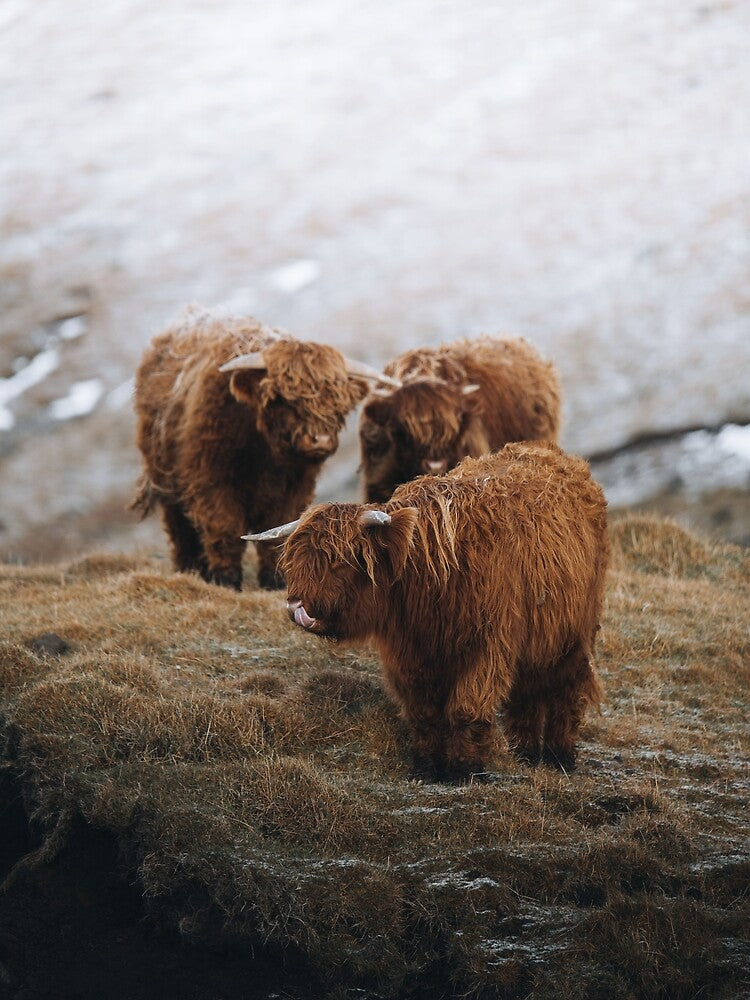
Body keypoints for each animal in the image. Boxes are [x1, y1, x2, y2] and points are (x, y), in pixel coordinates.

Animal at [131, 307, 396, 590]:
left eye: (337, 401)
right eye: (283, 399)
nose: (321, 439)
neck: (264, 454)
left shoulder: (294, 488)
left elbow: (278, 530)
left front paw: (275, 580)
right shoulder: (211, 481)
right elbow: (224, 529)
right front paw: (226, 580)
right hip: (165, 480)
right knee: (180, 529)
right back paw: (188, 570)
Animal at [246, 443, 608, 783]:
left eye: (340, 560)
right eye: (295, 560)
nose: (297, 607)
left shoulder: (487, 646)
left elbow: (466, 707)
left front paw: (465, 770)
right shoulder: (408, 654)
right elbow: (423, 712)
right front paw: (426, 768)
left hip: (575, 634)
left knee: (567, 690)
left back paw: (560, 758)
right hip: (535, 641)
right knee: (528, 694)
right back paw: (527, 755)